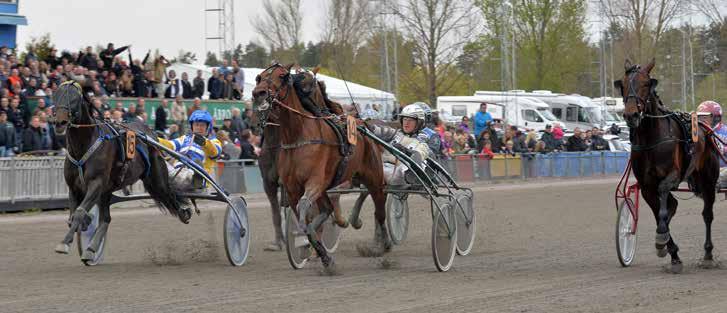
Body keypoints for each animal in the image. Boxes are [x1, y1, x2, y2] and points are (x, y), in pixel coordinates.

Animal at [54, 81, 191, 260]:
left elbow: (79, 212)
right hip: (107, 191)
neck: (84, 146)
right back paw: (91, 249)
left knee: (170, 194)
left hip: (156, 178)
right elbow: (74, 216)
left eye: (75, 98)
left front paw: (64, 243)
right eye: (56, 95)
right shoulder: (74, 188)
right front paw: (83, 227)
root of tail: (150, 132)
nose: (60, 122)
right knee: (106, 219)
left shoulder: (96, 184)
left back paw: (184, 211)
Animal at [252, 63, 390, 268]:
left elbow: (305, 211)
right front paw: (317, 252)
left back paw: (383, 244)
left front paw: (308, 243)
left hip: (373, 177)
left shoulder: (315, 181)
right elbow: (304, 217)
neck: (297, 137)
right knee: (328, 208)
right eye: (259, 77)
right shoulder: (291, 189)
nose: (258, 93)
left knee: (379, 207)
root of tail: (363, 127)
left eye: (282, 76)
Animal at [616, 58, 724, 270]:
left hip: (708, 180)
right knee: (673, 204)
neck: (651, 139)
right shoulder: (646, 186)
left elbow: (664, 203)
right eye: (622, 84)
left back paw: (708, 254)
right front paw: (670, 250)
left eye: (646, 83)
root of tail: (706, 129)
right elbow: (660, 212)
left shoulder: (671, 175)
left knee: (707, 214)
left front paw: (662, 239)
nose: (631, 115)